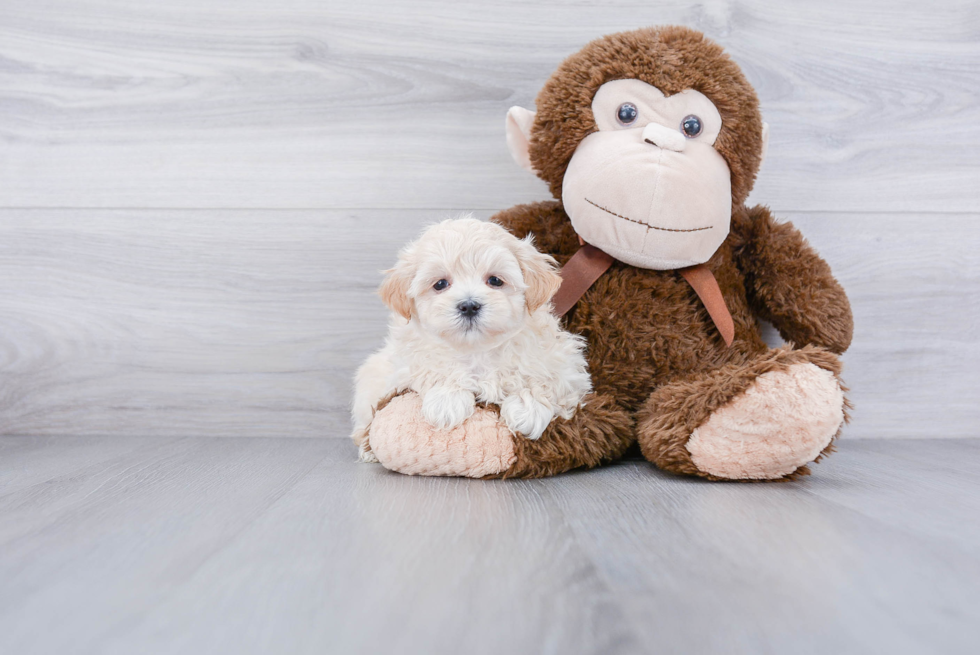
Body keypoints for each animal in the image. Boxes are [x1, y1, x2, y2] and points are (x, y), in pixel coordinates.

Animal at [352, 217, 588, 462]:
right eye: (440, 284)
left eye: (495, 280)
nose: (469, 306)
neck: (477, 350)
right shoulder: (404, 364)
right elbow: (431, 369)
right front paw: (446, 401)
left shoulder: (567, 367)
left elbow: (545, 380)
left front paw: (528, 408)